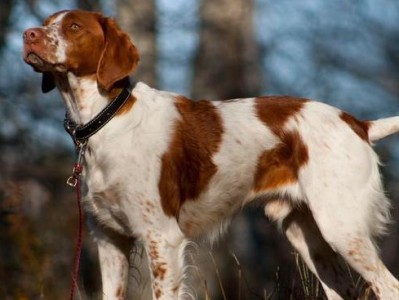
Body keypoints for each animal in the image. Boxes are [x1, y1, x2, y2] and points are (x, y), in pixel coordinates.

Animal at [22, 8, 399, 300]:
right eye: (46, 21)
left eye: (74, 27)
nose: (28, 34)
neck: (106, 120)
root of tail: (358, 123)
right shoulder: (109, 238)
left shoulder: (163, 238)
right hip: (306, 234)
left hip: (342, 226)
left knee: (388, 286)